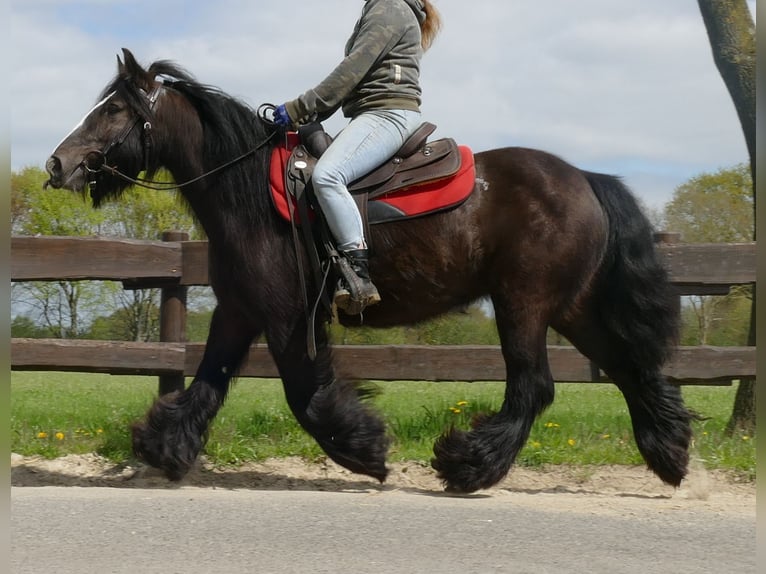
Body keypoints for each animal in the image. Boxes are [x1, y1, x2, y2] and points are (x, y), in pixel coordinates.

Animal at [46, 49, 696, 496]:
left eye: (113, 110)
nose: (58, 164)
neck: (250, 194)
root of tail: (585, 177)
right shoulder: (238, 310)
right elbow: (207, 382)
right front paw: (164, 449)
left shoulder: (287, 318)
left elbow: (306, 397)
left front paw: (368, 451)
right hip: (572, 306)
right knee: (628, 367)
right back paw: (669, 453)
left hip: (525, 304)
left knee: (534, 386)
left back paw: (467, 466)